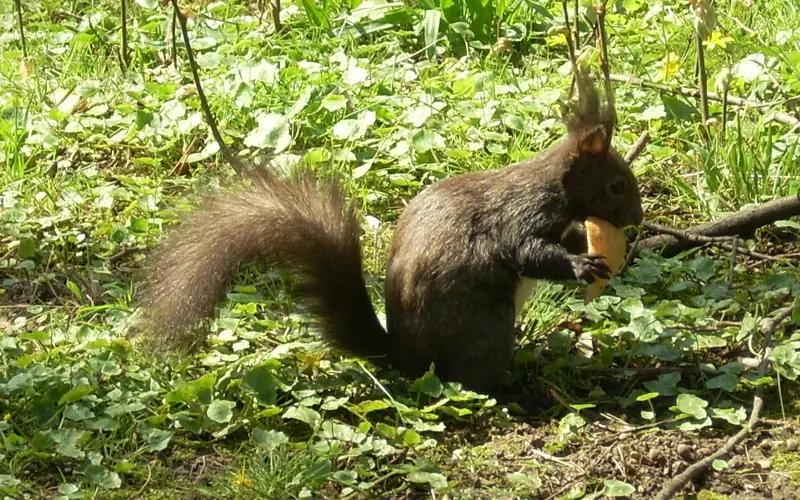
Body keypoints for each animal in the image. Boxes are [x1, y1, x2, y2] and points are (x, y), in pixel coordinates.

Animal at [139, 74, 644, 392]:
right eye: (616, 185)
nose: (637, 220)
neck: (551, 186)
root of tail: (406, 361)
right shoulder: (518, 217)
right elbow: (530, 252)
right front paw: (581, 263)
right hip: (487, 329)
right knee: (473, 383)